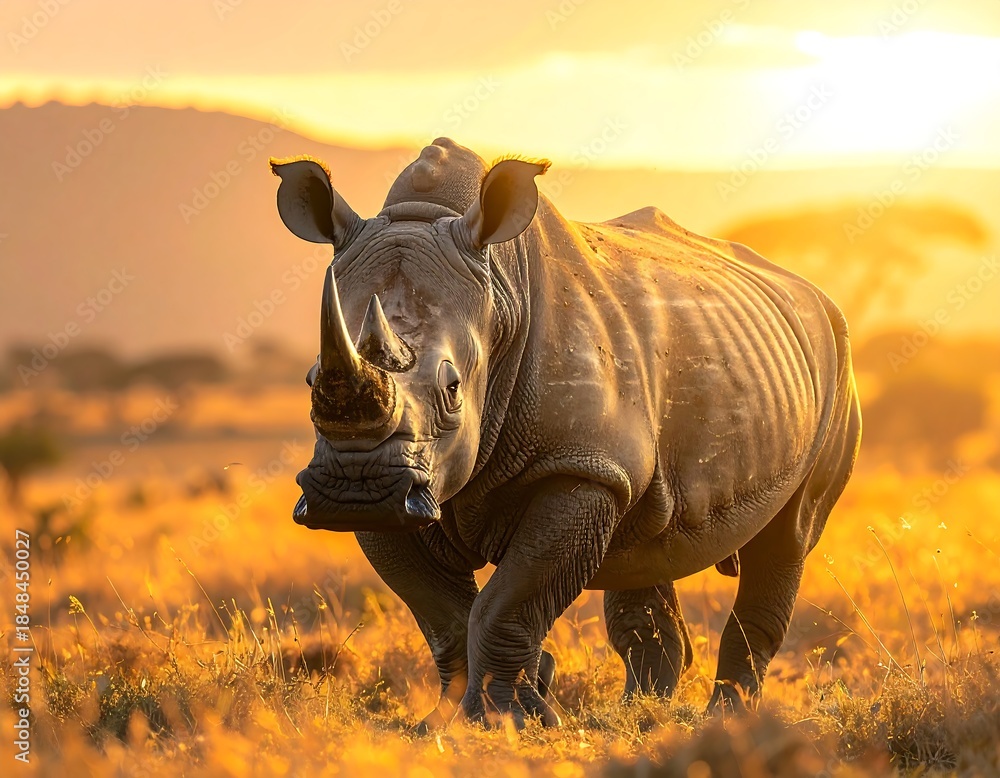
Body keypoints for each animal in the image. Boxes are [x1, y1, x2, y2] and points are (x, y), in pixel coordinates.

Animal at [270, 138, 862, 730]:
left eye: (453, 389)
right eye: (311, 380)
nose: (357, 488)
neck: (500, 292)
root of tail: (811, 293)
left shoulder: (580, 466)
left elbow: (506, 602)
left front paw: (506, 720)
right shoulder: (408, 492)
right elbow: (443, 614)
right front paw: (462, 715)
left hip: (837, 359)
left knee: (787, 537)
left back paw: (727, 718)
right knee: (647, 544)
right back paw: (638, 714)